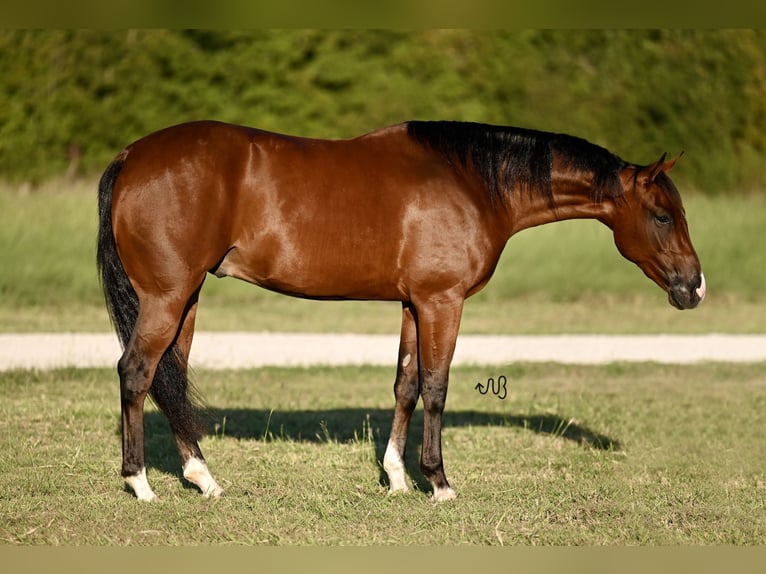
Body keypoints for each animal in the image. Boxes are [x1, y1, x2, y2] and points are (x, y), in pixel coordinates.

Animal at [97, 119, 708, 502]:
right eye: (661, 215)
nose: (694, 288)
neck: (473, 182)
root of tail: (131, 156)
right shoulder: (442, 302)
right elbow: (436, 386)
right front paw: (438, 483)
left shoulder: (416, 305)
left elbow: (406, 384)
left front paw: (395, 476)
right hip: (167, 297)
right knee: (138, 371)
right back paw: (141, 484)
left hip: (187, 299)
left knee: (169, 378)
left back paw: (203, 478)